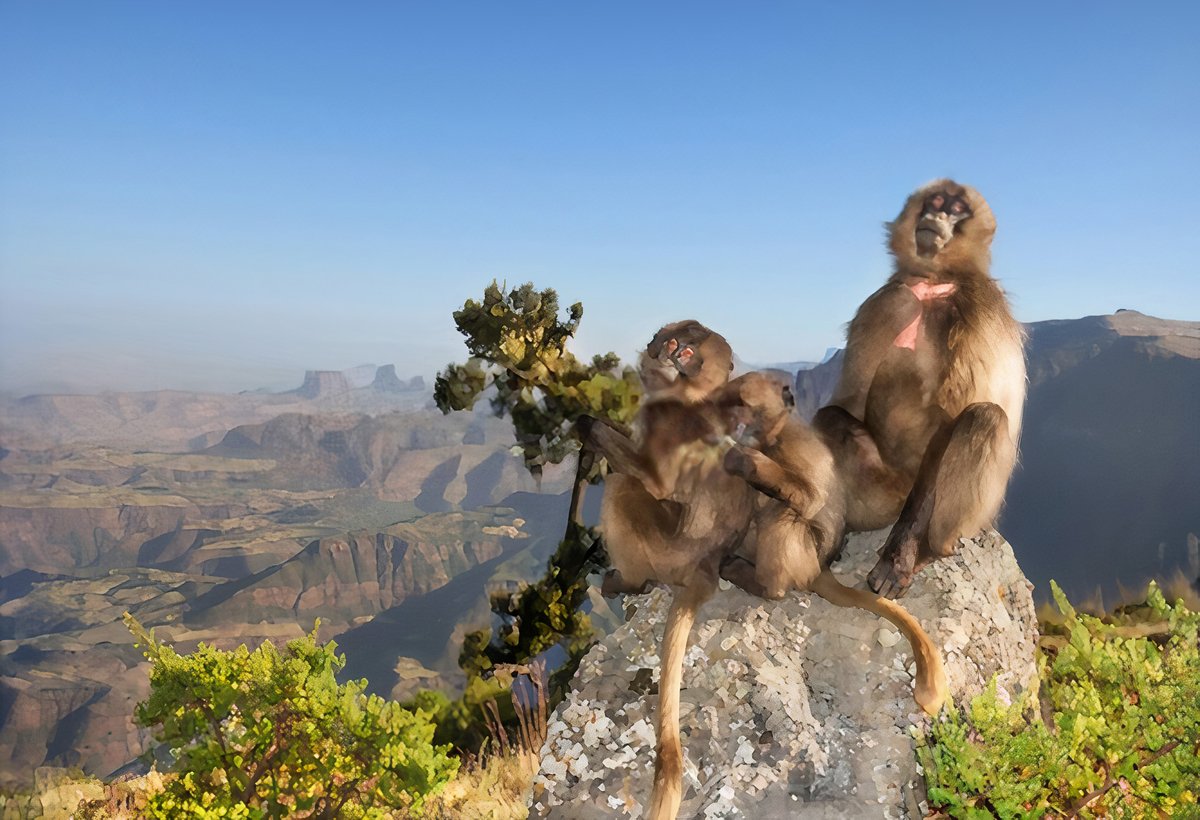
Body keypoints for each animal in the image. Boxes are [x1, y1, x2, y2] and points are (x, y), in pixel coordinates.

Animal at [813, 179, 1026, 598]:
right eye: (937, 201)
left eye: (957, 208)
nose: (937, 214)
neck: (933, 284)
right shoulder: (882, 301)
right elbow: (848, 402)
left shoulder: (975, 309)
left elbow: (951, 419)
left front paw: (901, 556)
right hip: (881, 494)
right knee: (831, 416)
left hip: (963, 513)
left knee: (984, 417)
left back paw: (931, 549)